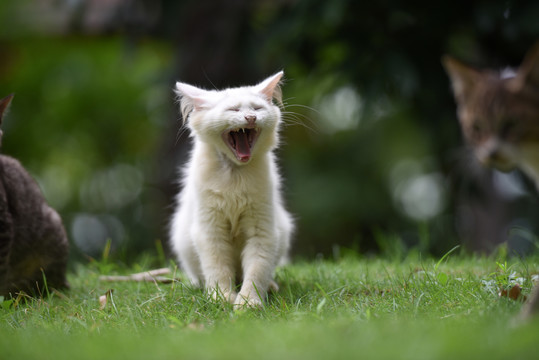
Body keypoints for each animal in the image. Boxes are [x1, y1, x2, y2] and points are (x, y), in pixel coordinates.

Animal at [171, 71, 294, 308]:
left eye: (257, 108)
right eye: (234, 110)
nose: (251, 118)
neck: (235, 174)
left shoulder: (262, 230)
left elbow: (256, 271)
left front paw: (248, 303)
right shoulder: (211, 229)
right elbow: (218, 269)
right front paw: (221, 298)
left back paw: (271, 287)